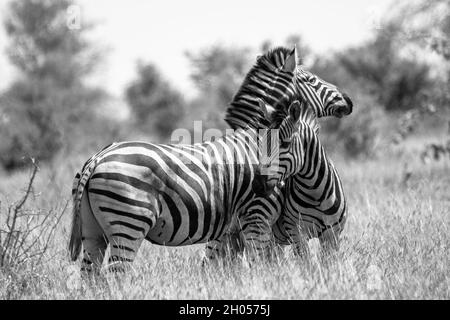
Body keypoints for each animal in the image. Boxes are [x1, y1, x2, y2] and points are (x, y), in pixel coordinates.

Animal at [67, 98, 306, 272]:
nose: (259, 184)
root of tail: (98, 157)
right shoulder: (257, 216)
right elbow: (263, 263)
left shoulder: (229, 229)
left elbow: (219, 266)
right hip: (129, 222)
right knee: (116, 273)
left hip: (92, 230)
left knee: (90, 274)